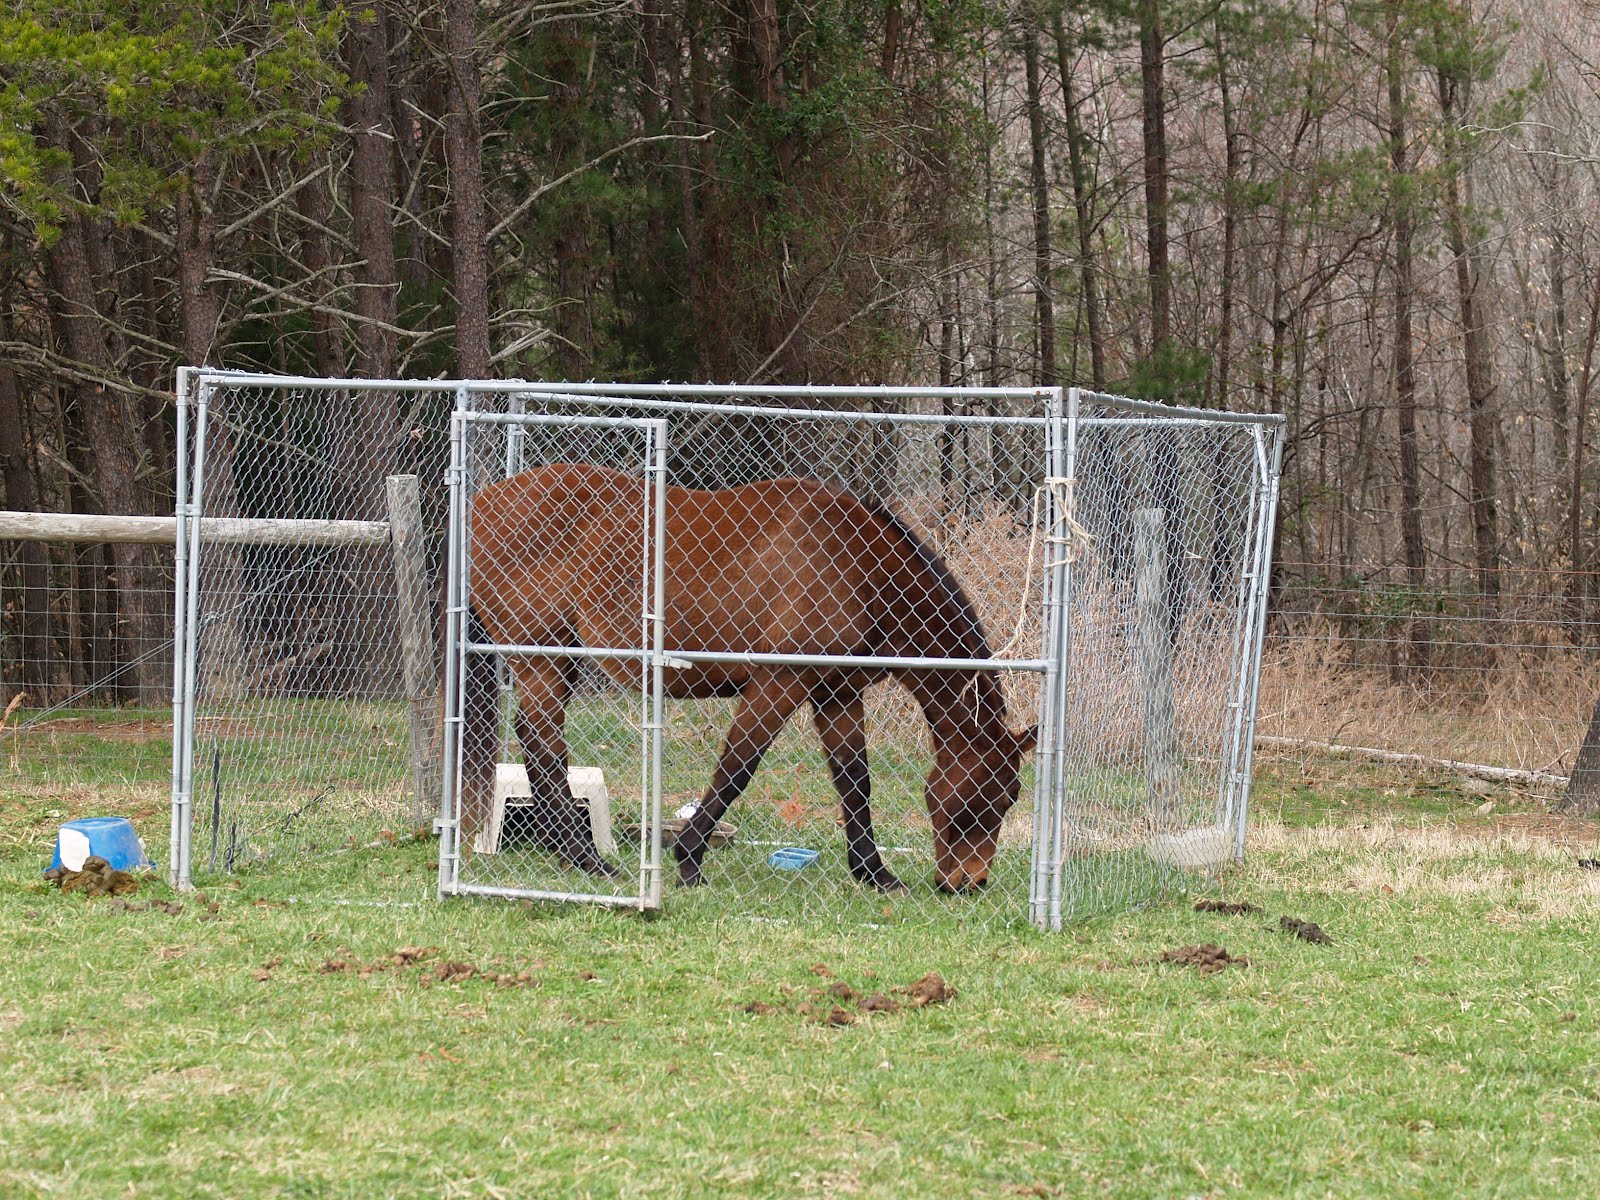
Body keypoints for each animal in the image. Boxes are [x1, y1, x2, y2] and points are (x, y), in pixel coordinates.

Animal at [458, 462, 1036, 893]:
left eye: (1009, 800)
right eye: (985, 800)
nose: (969, 883)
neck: (857, 566)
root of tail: (484, 503)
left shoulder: (836, 694)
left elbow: (855, 780)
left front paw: (874, 873)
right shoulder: (778, 686)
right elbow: (738, 769)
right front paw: (690, 860)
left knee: (537, 743)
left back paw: (568, 853)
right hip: (542, 660)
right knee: (545, 745)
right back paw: (587, 858)